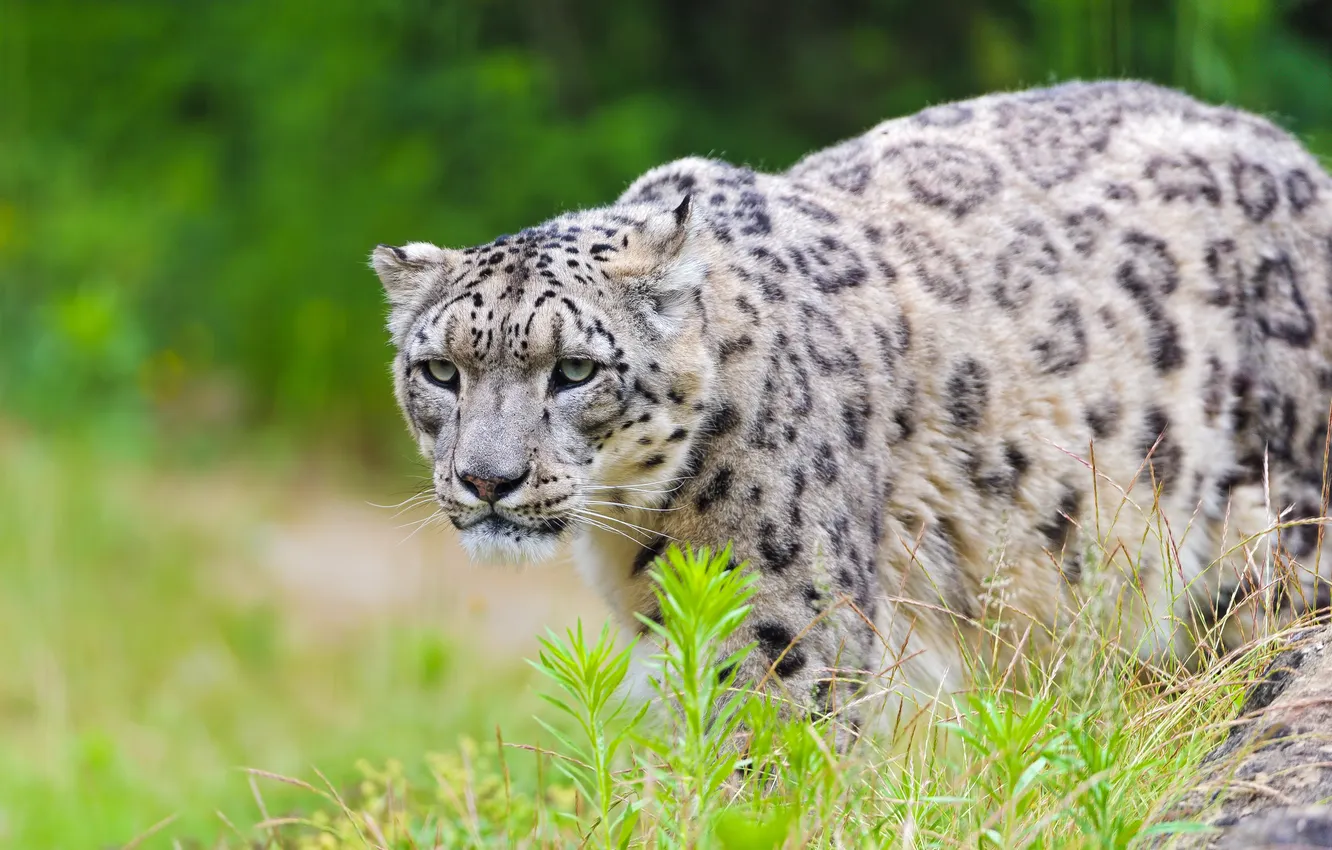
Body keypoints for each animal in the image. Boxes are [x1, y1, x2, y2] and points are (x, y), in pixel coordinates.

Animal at [370, 80, 1332, 741]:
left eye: (573, 370)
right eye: (440, 370)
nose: (486, 480)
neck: (639, 532)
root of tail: (1297, 155)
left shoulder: (782, 631)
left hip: (1279, 527)